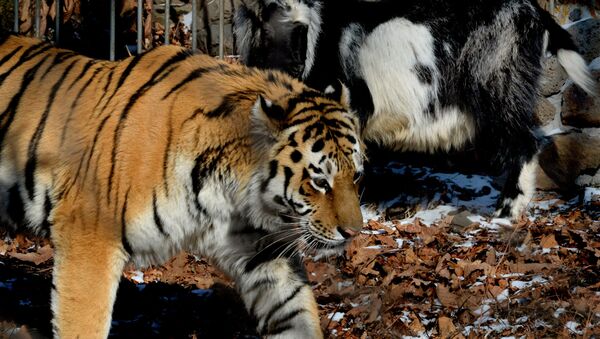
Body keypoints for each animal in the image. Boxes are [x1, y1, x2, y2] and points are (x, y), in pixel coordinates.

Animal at [0, 33, 364, 339]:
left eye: (356, 176)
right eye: (319, 181)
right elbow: (84, 322)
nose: (354, 233)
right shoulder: (88, 236)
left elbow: (296, 311)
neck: (227, 194)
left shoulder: (260, 250)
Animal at [233, 0, 596, 218]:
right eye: (266, 25)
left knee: (524, 143)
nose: (295, 64)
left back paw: (507, 211)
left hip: (498, 87)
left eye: (299, 29)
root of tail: (533, 10)